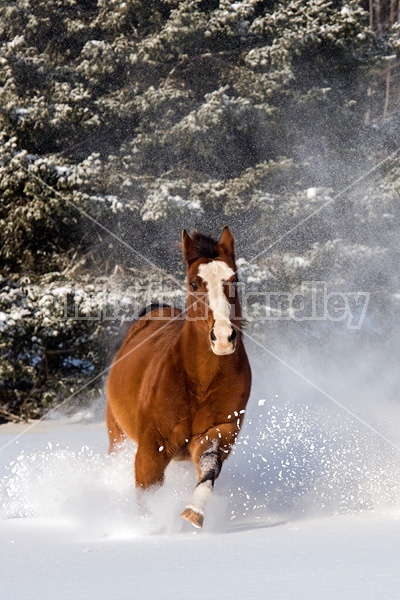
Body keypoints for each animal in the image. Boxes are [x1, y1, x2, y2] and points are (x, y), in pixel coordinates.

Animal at [106, 227, 250, 528]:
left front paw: (193, 513)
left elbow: (208, 472)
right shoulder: (152, 446)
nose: (223, 337)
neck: (199, 380)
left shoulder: (218, 431)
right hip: (117, 436)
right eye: (194, 283)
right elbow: (147, 491)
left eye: (233, 279)